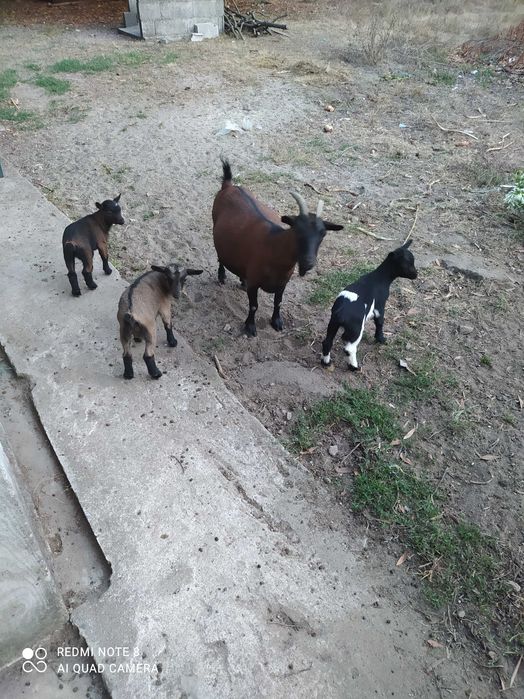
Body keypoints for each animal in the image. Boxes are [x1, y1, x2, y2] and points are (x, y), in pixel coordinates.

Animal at [212, 159, 343, 336]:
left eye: (323, 234)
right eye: (297, 230)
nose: (308, 262)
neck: (274, 247)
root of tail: (229, 185)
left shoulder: (283, 283)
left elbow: (278, 302)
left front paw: (277, 322)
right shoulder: (255, 282)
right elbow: (254, 306)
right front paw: (250, 326)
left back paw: (242, 280)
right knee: (220, 255)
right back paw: (222, 276)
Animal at [320, 240, 417, 371]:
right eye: (406, 264)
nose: (416, 275)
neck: (379, 277)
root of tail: (341, 312)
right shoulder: (379, 307)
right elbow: (380, 323)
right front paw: (381, 339)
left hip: (333, 324)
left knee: (327, 342)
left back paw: (326, 362)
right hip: (356, 329)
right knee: (349, 349)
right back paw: (354, 367)